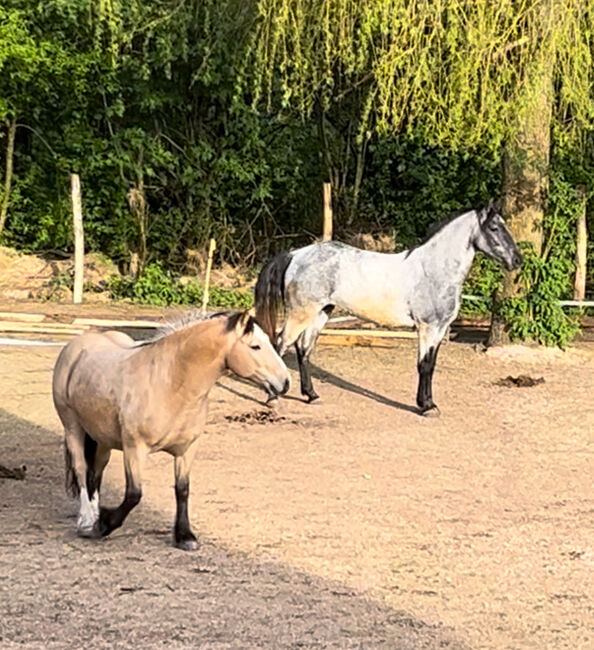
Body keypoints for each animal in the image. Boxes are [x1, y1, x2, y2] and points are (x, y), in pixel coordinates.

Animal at [254, 202, 520, 416]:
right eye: (494, 228)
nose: (517, 260)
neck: (433, 270)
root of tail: (296, 254)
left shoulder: (440, 329)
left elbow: (431, 365)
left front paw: (429, 403)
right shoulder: (427, 327)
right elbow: (423, 365)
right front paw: (425, 407)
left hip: (320, 313)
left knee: (303, 349)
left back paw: (311, 395)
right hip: (302, 314)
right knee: (280, 344)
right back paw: (273, 397)